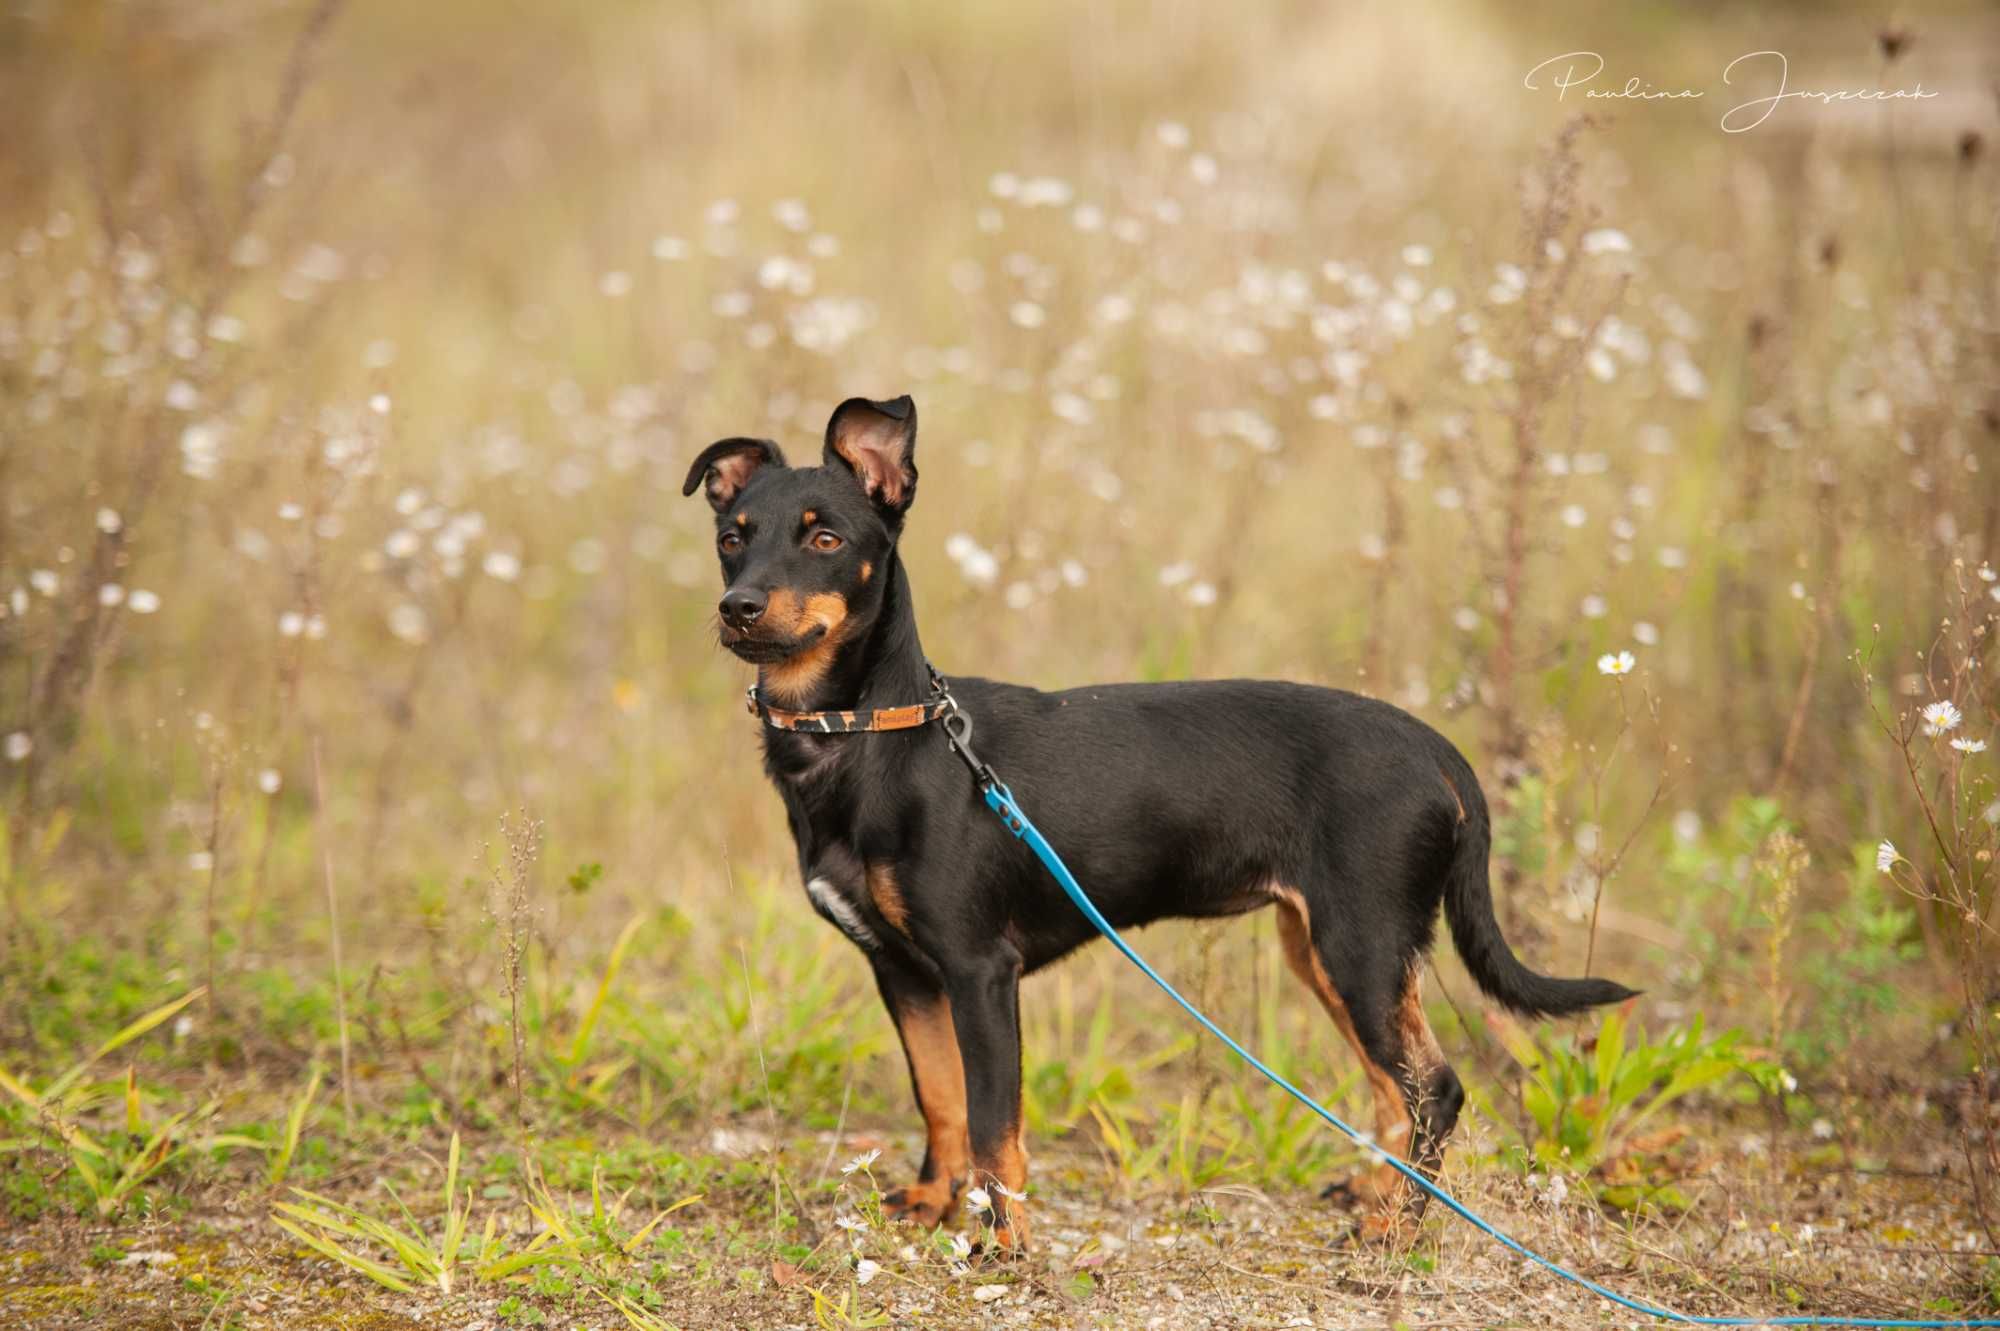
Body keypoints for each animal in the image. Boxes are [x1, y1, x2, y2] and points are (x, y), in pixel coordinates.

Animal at [680, 391, 1632, 1247]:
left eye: (826, 540)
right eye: (731, 538)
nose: (738, 608)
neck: (874, 733)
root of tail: (1436, 749)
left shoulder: (981, 969)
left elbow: (994, 1123)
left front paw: (1000, 1243)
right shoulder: (905, 971)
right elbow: (942, 1099)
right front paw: (932, 1204)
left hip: (1361, 943)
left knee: (1433, 1086)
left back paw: (1397, 1231)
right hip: (1326, 949)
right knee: (1392, 1086)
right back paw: (1373, 1200)